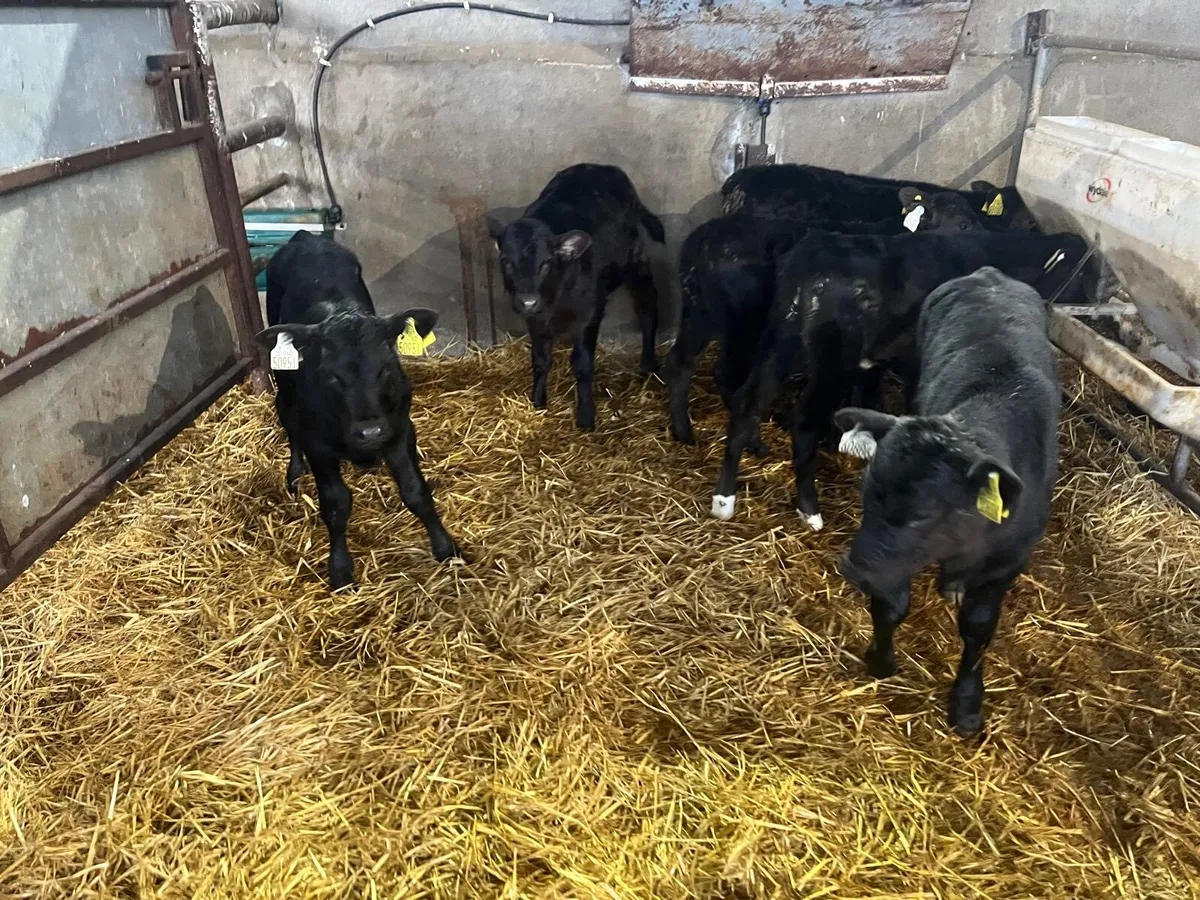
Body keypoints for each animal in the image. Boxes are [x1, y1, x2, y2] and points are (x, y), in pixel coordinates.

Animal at [256, 231, 460, 589]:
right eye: (331, 375)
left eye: (386, 367)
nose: (370, 431)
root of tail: (305, 237)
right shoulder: (318, 445)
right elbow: (336, 504)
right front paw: (340, 568)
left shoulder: (399, 428)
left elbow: (416, 491)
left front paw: (444, 547)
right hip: (284, 384)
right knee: (286, 417)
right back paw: (295, 471)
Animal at [488, 164, 665, 431]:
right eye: (506, 262)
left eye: (546, 263)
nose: (528, 301)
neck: (555, 298)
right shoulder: (536, 320)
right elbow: (540, 360)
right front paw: (538, 401)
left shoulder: (588, 315)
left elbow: (581, 364)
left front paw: (585, 415)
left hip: (636, 262)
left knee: (647, 308)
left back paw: (646, 364)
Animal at [708, 228, 1088, 526]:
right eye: (1082, 271)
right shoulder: (916, 359)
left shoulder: (875, 362)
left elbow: (869, 400)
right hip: (833, 359)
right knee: (802, 420)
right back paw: (810, 509)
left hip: (781, 341)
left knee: (747, 402)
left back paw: (725, 499)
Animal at [835, 267, 1060, 736]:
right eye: (867, 491)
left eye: (923, 514)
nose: (852, 569)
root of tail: (989, 274)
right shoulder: (894, 559)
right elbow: (890, 605)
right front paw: (880, 659)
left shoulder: (1007, 562)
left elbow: (978, 629)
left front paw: (967, 703)